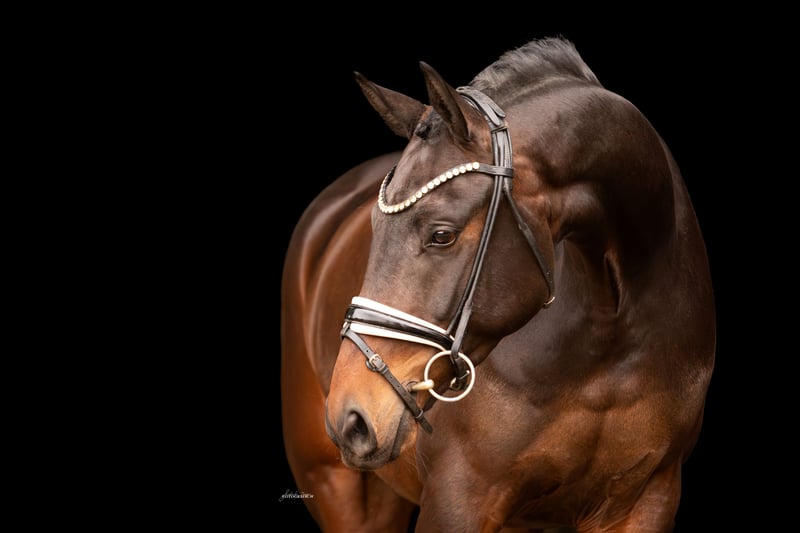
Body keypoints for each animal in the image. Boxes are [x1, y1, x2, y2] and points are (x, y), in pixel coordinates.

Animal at [281, 37, 715, 532]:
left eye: (442, 235)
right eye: (374, 226)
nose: (350, 417)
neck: (613, 337)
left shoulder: (648, 499)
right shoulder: (458, 498)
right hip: (337, 485)